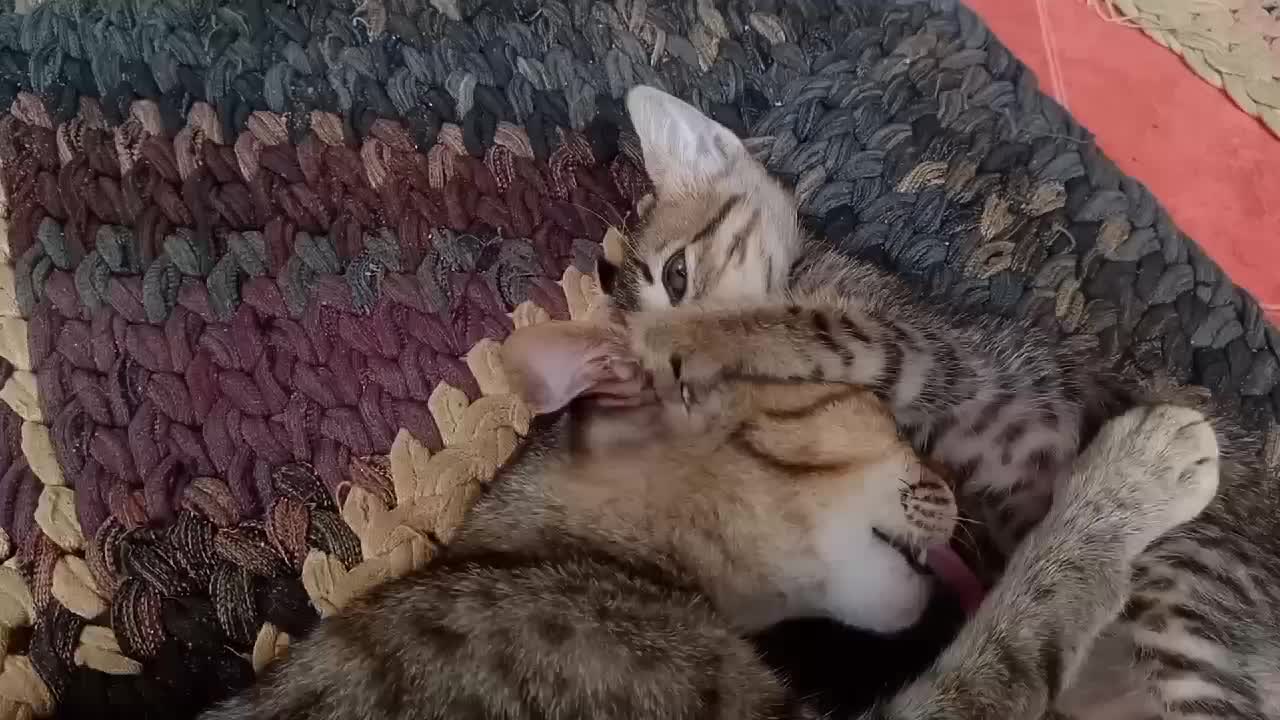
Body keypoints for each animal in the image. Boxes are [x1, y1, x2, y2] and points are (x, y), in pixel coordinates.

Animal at [609, 85, 1280, 717]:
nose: (655, 363)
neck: (804, 270)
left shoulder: (911, 344)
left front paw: (674, 338)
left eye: (676, 275)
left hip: (1181, 583)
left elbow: (802, 329)